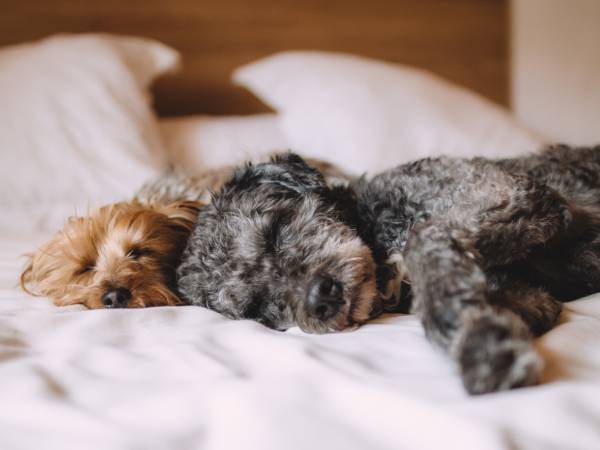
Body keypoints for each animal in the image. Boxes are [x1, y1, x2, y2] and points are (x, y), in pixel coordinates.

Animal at [176, 147, 600, 394]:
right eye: (259, 308)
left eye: (275, 231)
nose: (320, 299)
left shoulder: (510, 191)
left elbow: (424, 240)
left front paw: (480, 344)